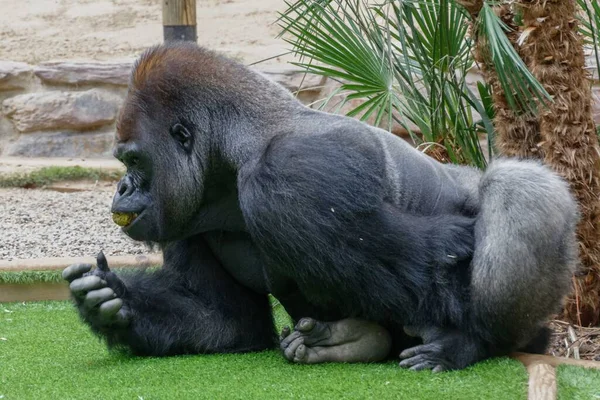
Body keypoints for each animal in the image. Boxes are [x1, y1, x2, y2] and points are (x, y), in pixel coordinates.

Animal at [62, 43, 580, 372]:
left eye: (134, 160)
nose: (122, 188)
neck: (237, 148)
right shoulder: (188, 218)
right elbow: (225, 324)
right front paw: (113, 302)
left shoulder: (289, 174)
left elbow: (431, 262)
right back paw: (353, 342)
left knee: (519, 188)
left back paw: (470, 343)